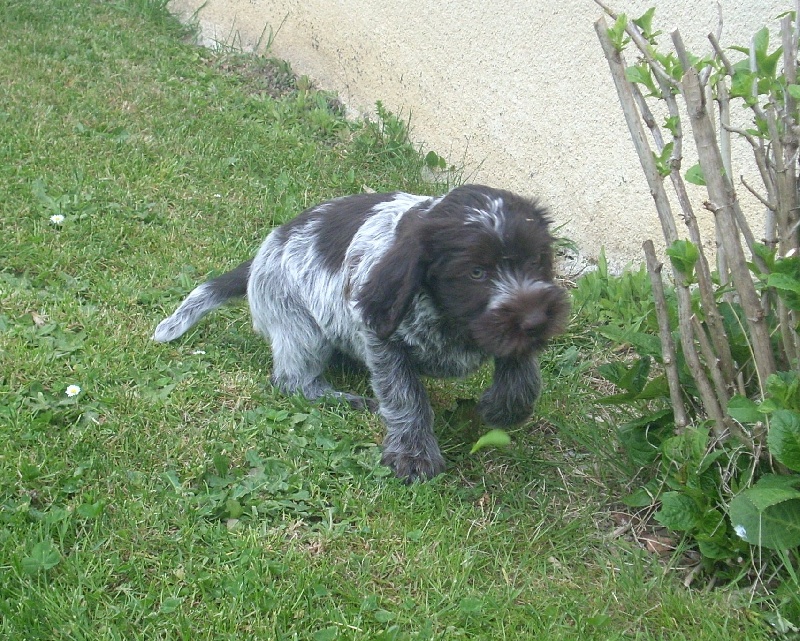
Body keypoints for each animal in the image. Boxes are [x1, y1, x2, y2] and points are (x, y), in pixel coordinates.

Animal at [153, 184, 570, 481]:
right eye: (476, 273)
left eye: (536, 260)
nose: (536, 320)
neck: (449, 321)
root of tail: (260, 256)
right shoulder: (381, 337)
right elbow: (405, 395)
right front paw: (412, 454)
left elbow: (521, 368)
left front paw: (505, 405)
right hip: (301, 328)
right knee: (293, 382)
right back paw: (348, 400)